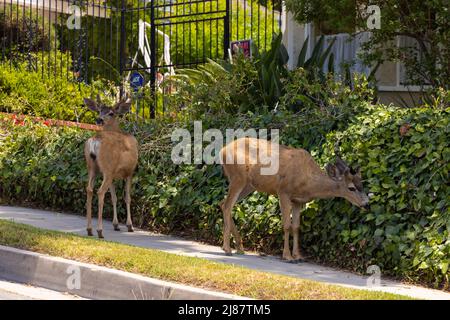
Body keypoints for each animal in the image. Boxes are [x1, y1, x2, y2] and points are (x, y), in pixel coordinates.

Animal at [82, 96, 138, 239]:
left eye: (111, 113)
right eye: (99, 110)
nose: (99, 119)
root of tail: (95, 141)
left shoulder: (113, 175)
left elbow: (114, 198)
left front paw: (116, 224)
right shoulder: (130, 172)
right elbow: (127, 198)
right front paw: (130, 225)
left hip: (93, 168)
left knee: (89, 189)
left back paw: (89, 229)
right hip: (107, 168)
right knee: (100, 191)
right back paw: (99, 231)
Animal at [219, 137, 370, 260]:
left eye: (362, 184)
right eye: (351, 188)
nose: (366, 204)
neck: (307, 181)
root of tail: (222, 150)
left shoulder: (298, 201)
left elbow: (296, 227)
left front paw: (298, 256)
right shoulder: (283, 192)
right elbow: (286, 225)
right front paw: (287, 256)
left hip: (249, 185)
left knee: (223, 203)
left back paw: (239, 247)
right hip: (238, 177)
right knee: (227, 205)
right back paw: (227, 248)